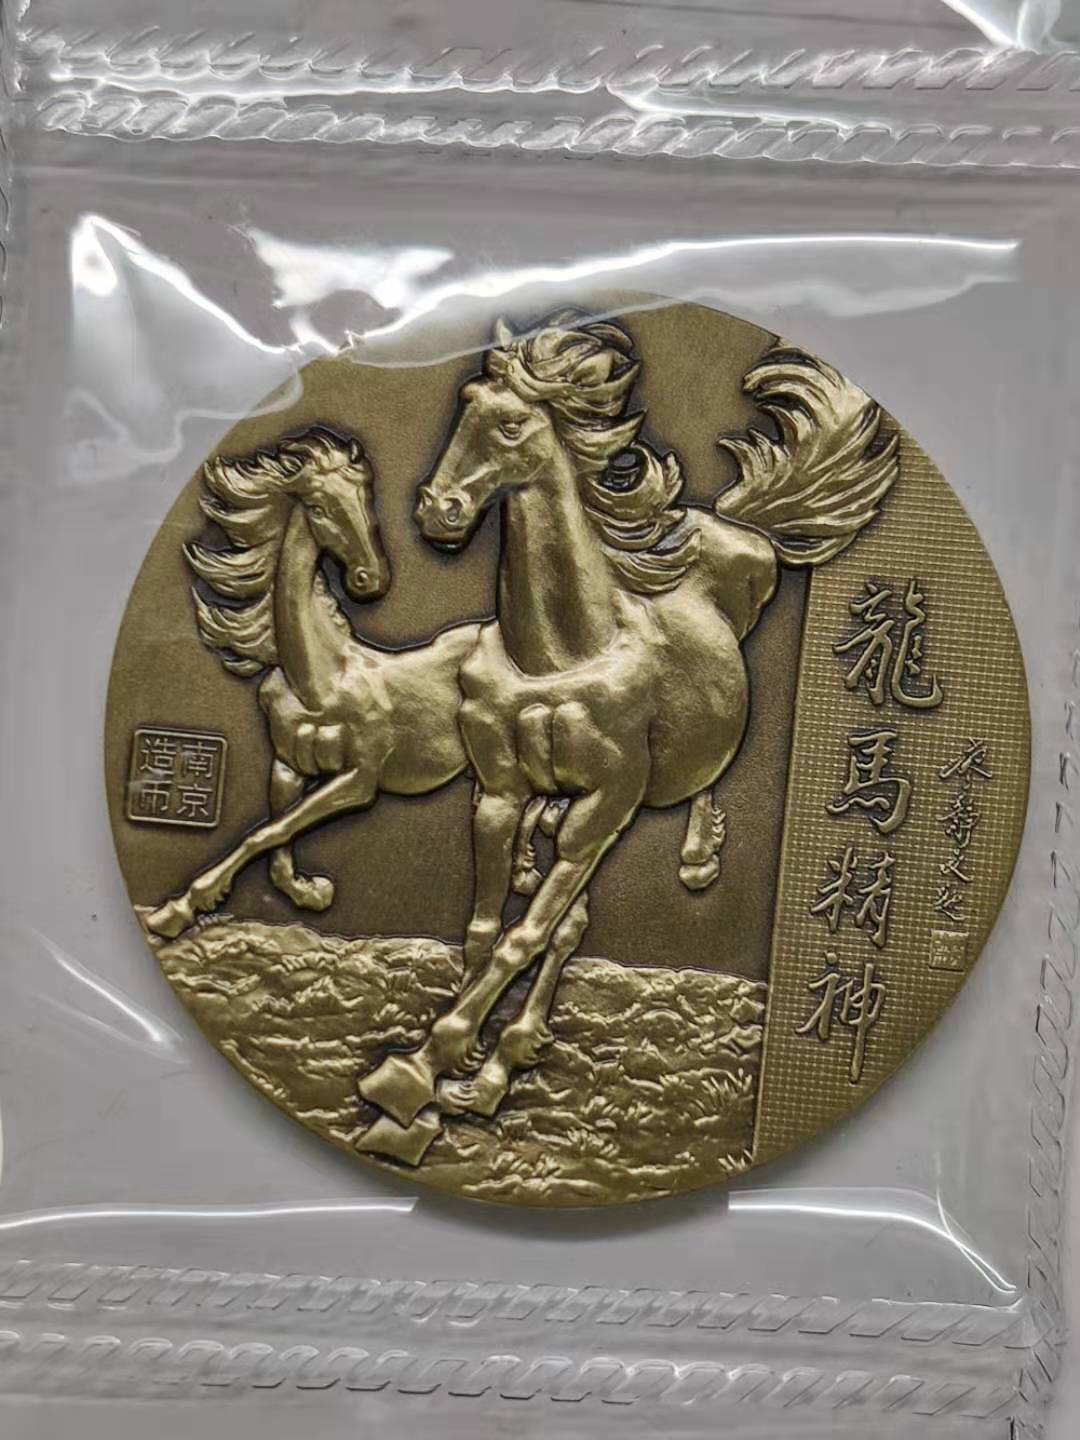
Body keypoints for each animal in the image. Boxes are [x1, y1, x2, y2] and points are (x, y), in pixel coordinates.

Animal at [144, 426, 486, 939]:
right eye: (321, 509)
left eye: (365, 500)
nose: (370, 579)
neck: (319, 680)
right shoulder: (287, 766)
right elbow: (275, 835)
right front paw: (306, 891)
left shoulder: (360, 778)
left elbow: (271, 831)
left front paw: (182, 907)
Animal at [356, 311, 898, 1140]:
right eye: (464, 404)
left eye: (510, 424)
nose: (437, 514)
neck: (559, 651)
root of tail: (738, 526)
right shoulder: (499, 792)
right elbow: (488, 927)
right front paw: (448, 1064)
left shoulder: (609, 799)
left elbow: (527, 935)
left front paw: (423, 1072)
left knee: (684, 798)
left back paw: (695, 861)